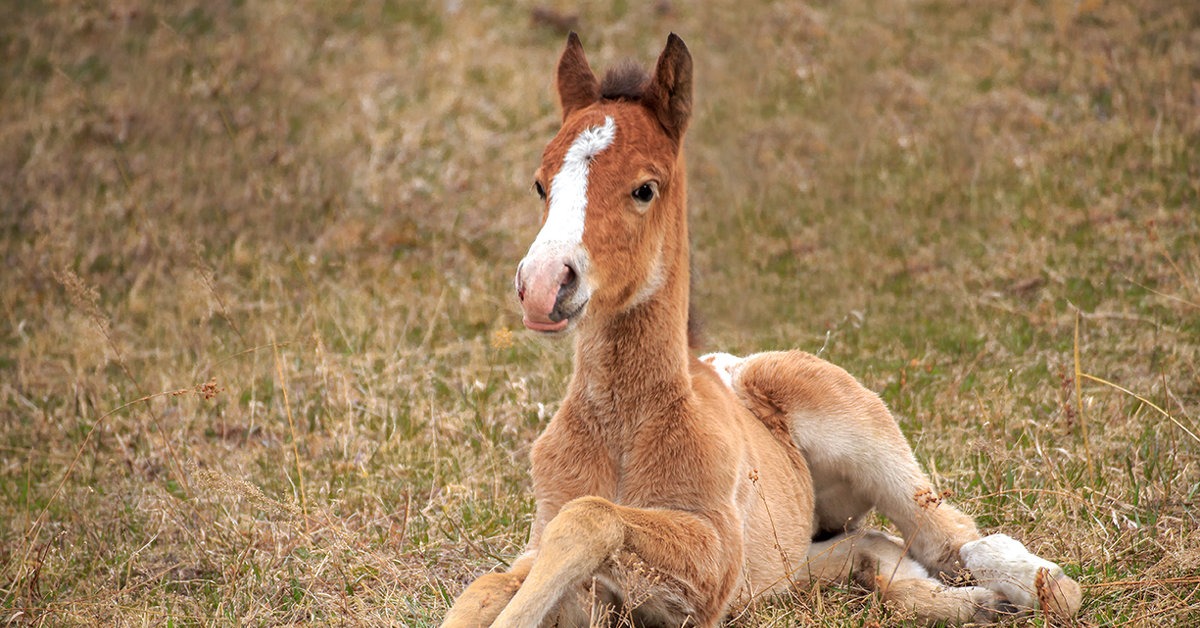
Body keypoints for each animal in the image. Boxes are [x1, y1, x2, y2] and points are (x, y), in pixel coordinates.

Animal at [444, 33, 1089, 628]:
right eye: (540, 183)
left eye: (644, 188)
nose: (543, 284)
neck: (624, 426)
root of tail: (735, 364)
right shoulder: (543, 549)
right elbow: (486, 586)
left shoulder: (711, 563)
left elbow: (591, 516)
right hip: (792, 555)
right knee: (870, 547)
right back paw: (972, 602)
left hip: (862, 437)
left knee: (955, 540)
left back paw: (1025, 586)